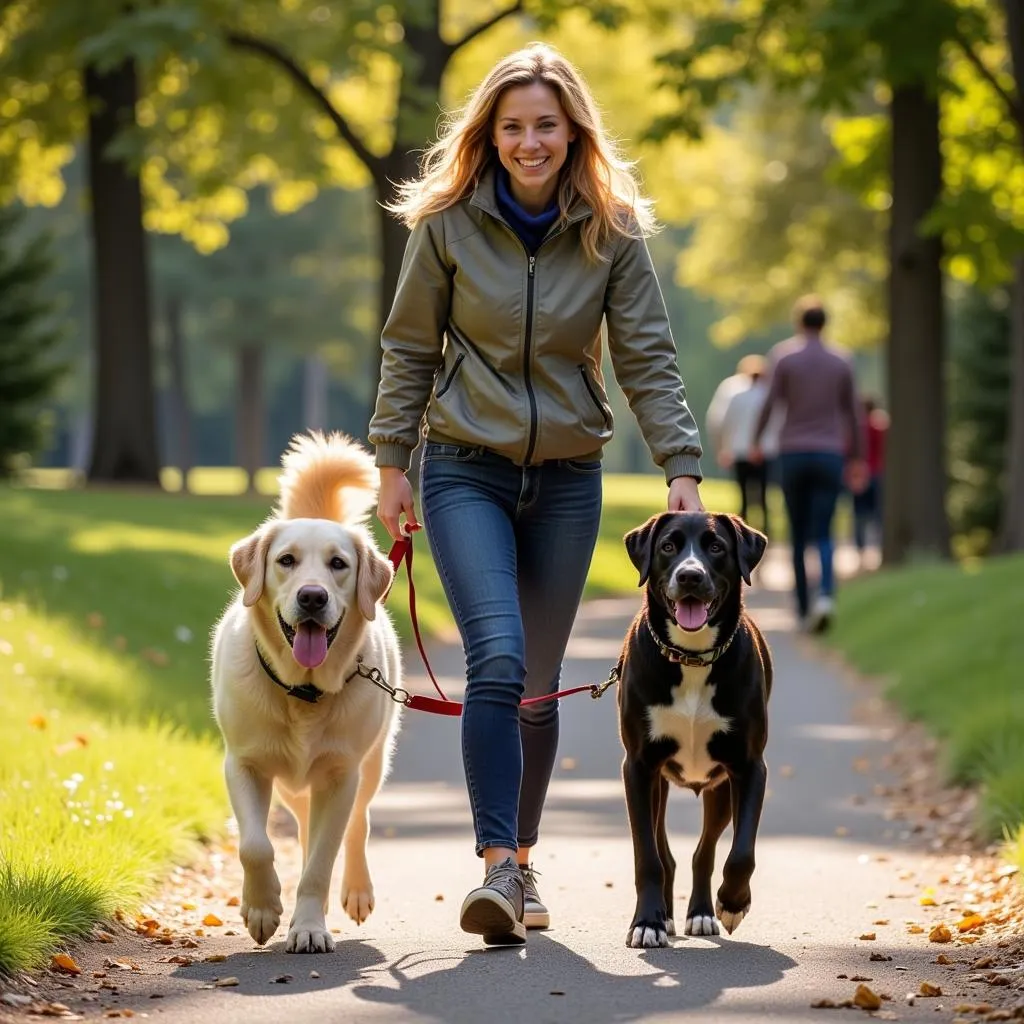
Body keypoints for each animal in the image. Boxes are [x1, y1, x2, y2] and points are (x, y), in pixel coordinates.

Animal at [210, 430, 399, 950]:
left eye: (338, 564)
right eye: (286, 561)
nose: (312, 596)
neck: (303, 693)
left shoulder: (339, 775)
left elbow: (321, 859)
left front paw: (310, 927)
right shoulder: (243, 763)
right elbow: (255, 844)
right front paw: (262, 908)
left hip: (371, 762)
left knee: (357, 824)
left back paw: (356, 890)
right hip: (292, 785)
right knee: (298, 824)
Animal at [614, 512, 770, 950]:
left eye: (716, 547)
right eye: (668, 546)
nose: (689, 575)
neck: (692, 657)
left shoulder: (749, 766)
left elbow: (741, 853)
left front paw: (732, 903)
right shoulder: (637, 767)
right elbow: (647, 857)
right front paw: (647, 922)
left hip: (719, 788)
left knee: (705, 852)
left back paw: (701, 913)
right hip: (658, 786)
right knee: (664, 853)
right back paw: (664, 917)